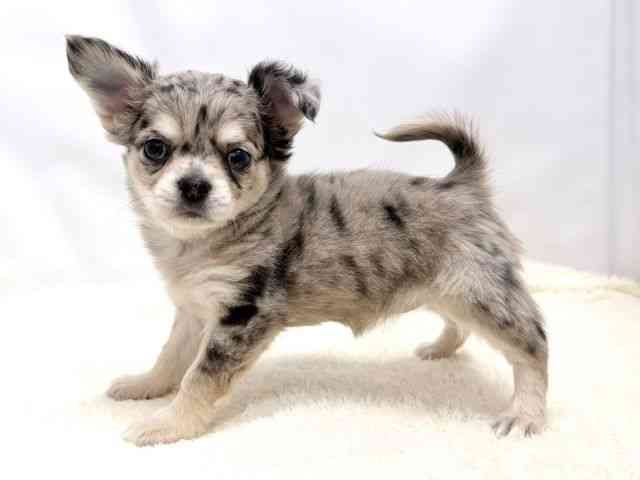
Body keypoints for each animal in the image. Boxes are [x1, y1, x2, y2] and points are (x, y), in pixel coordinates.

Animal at [66, 35, 548, 446]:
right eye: (155, 149)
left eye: (237, 157)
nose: (194, 185)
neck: (198, 246)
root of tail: (463, 183)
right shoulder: (193, 310)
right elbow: (171, 356)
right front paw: (146, 385)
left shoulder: (240, 318)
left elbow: (199, 378)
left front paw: (168, 424)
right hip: (446, 289)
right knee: (459, 324)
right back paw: (440, 349)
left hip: (482, 294)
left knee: (534, 345)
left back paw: (526, 414)